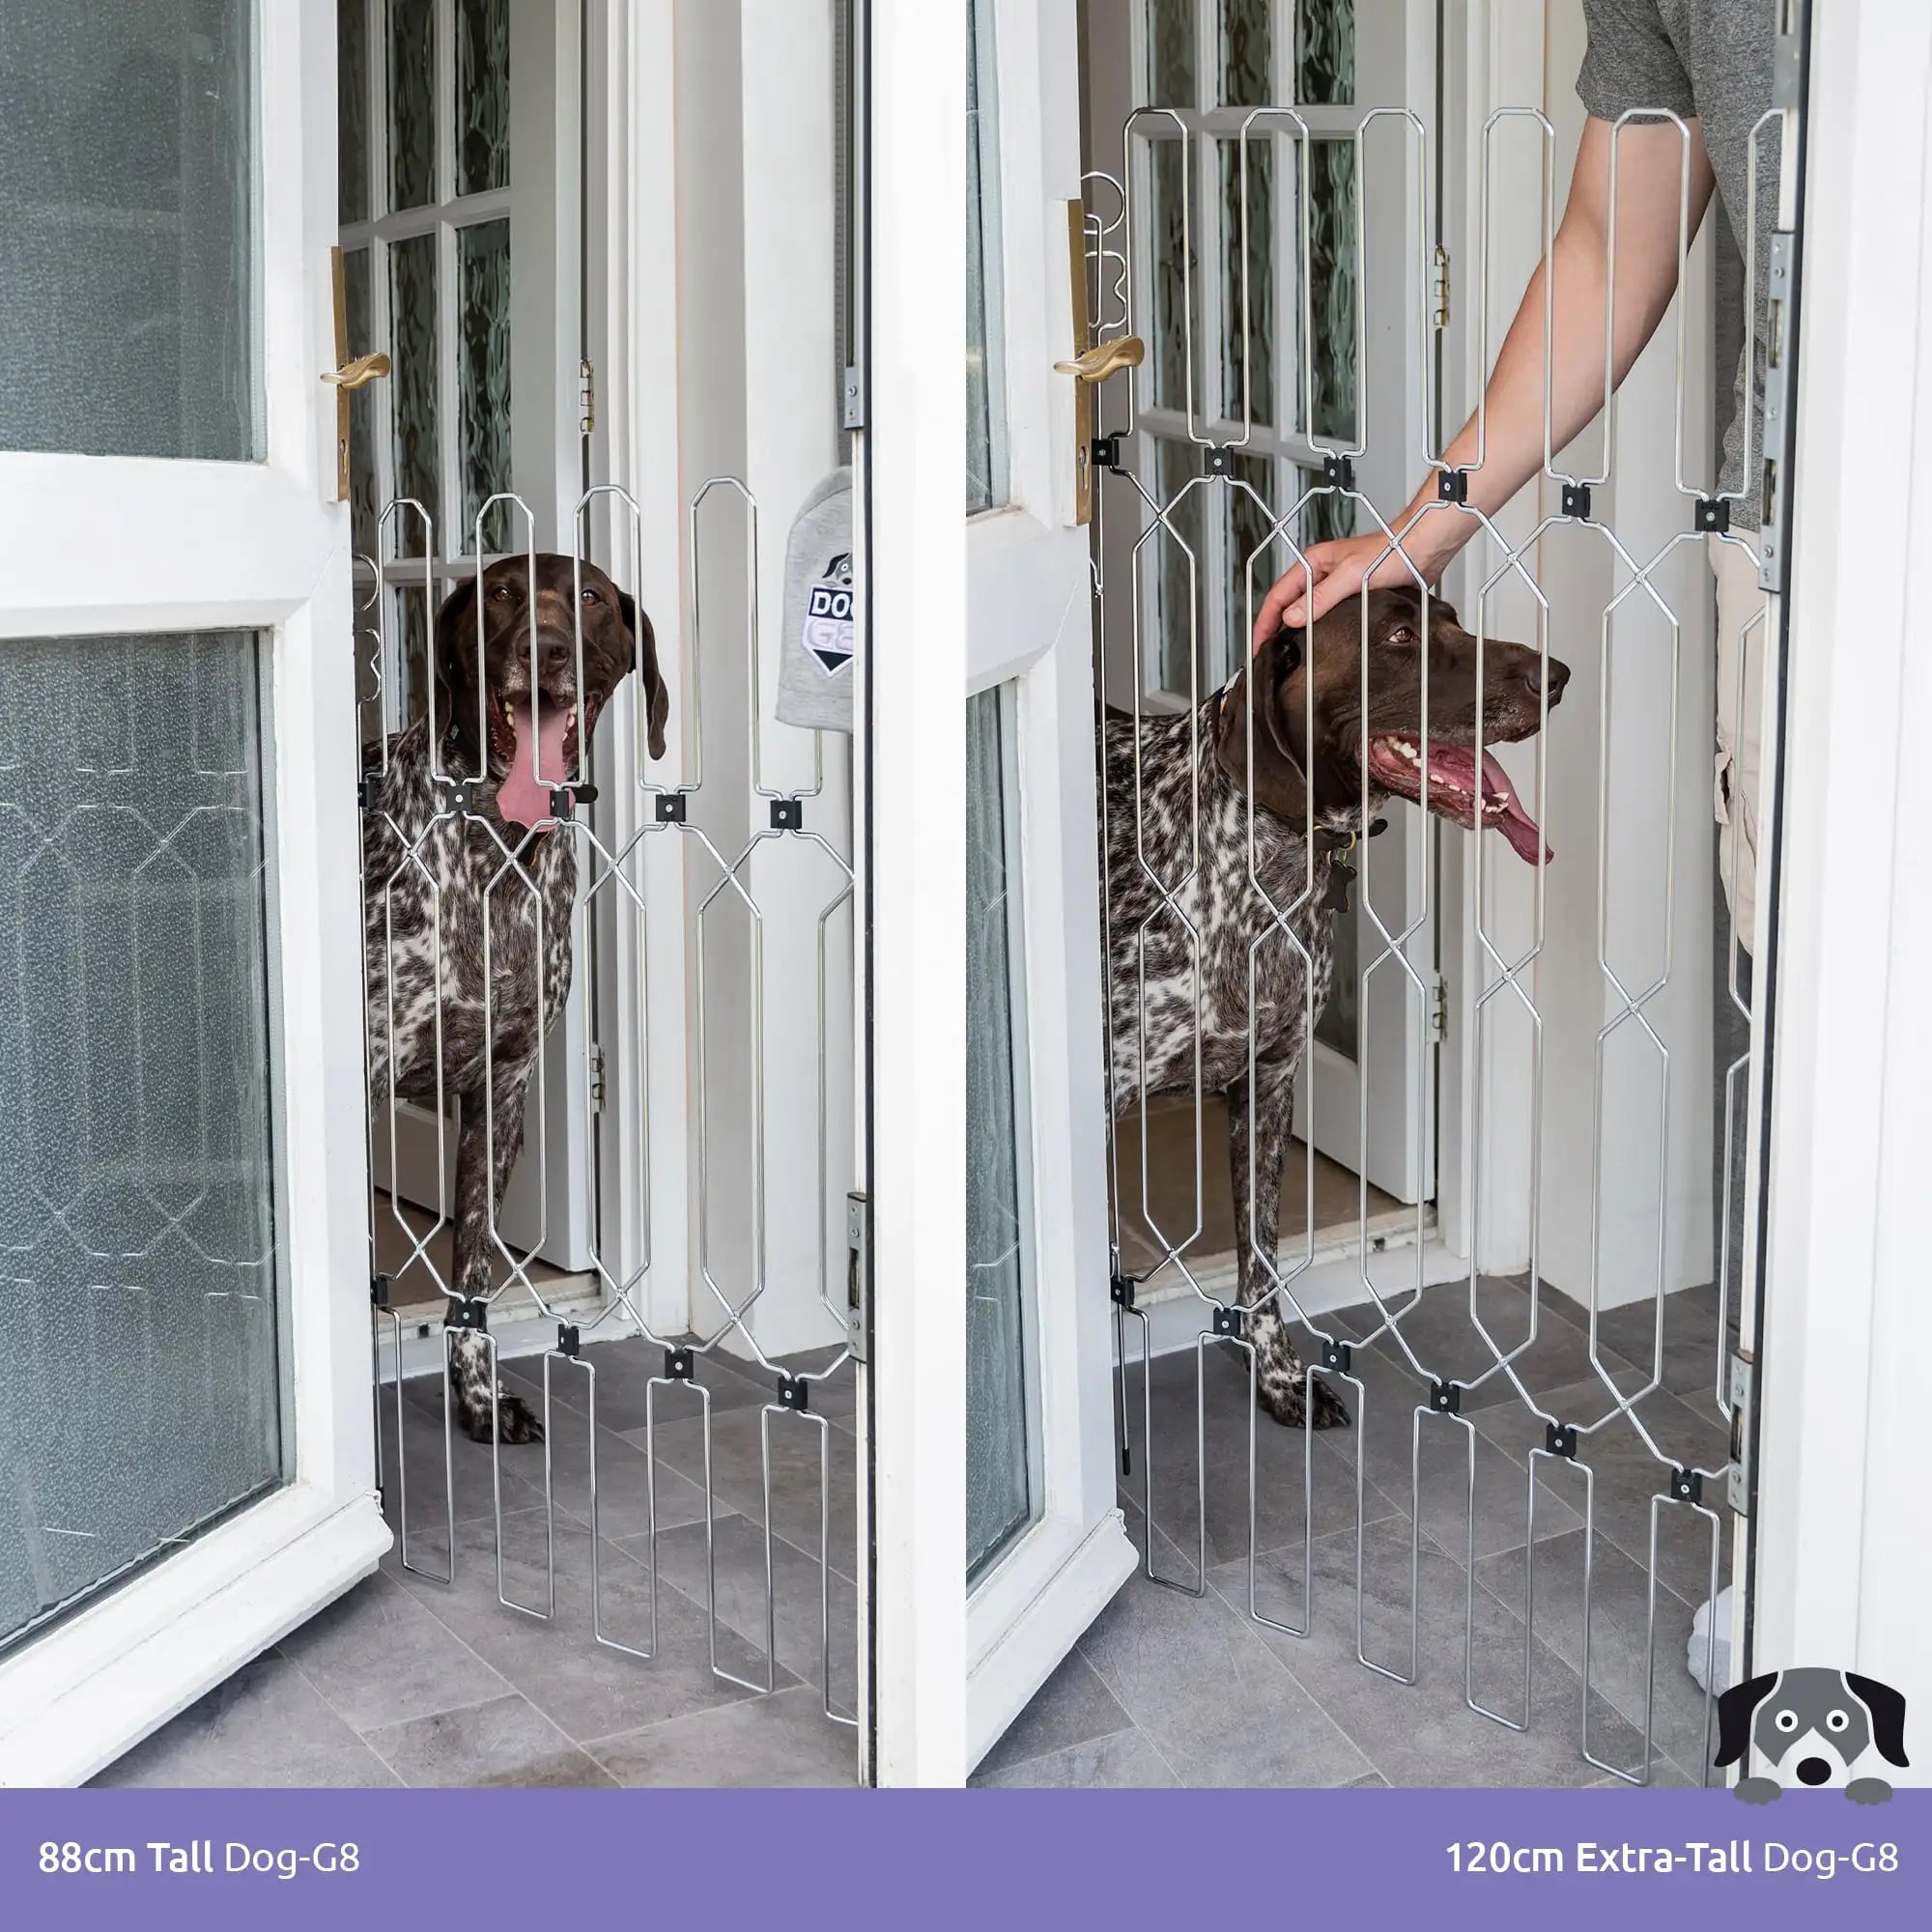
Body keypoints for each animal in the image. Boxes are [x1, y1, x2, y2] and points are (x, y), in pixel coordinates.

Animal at [361, 553, 665, 1445]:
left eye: (590, 598)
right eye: (499, 594)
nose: (548, 647)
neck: (493, 852)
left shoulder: (501, 1094)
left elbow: (470, 1279)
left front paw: (478, 1398)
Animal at [1105, 591, 1569, 1437]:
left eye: (1451, 617)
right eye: (1400, 636)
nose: (1554, 677)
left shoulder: (1266, 1085)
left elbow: (1260, 1260)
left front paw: (1277, 1377)